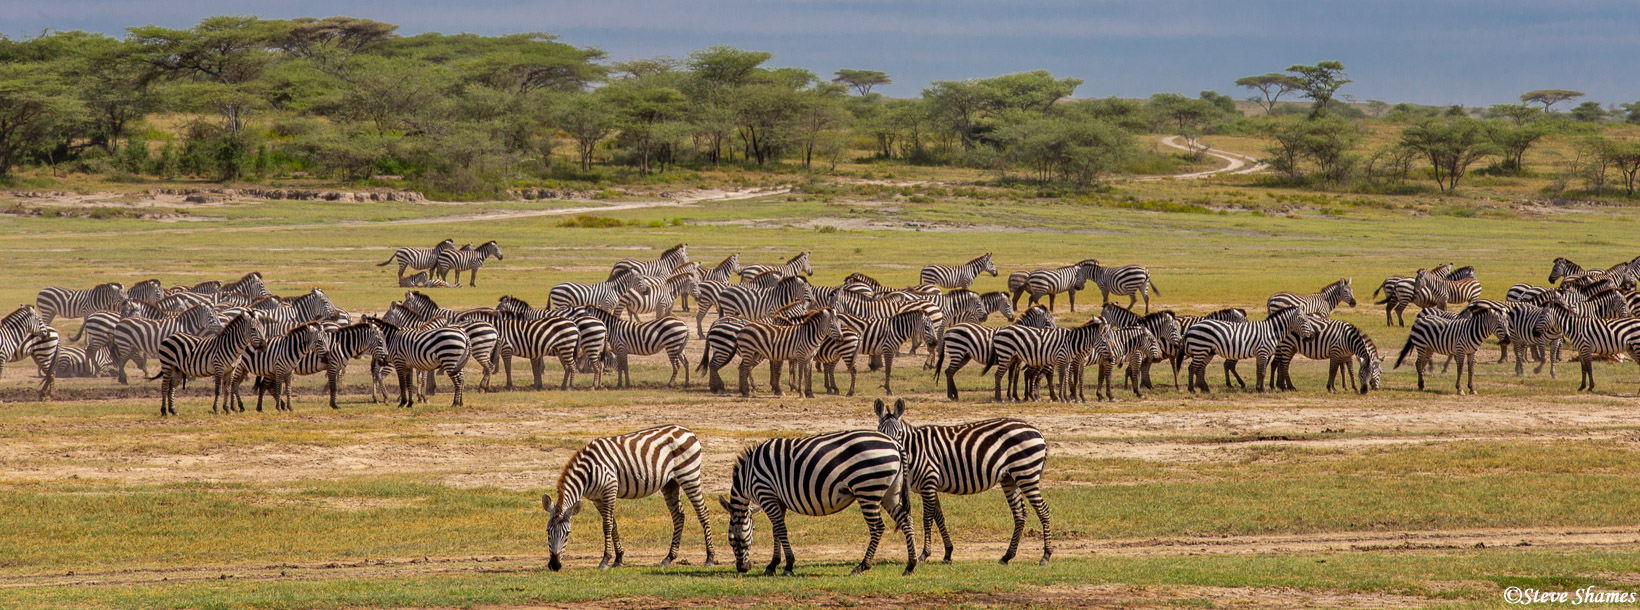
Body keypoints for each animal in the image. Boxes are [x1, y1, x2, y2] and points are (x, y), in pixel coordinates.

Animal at [541, 423, 715, 570]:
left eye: (567, 533)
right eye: (547, 531)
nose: (554, 565)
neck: (588, 472)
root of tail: (688, 431)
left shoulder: (610, 488)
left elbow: (607, 525)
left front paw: (605, 560)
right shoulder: (597, 499)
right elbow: (613, 524)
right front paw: (618, 559)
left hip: (689, 475)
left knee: (703, 512)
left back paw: (710, 558)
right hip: (670, 483)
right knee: (678, 515)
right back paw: (669, 558)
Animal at [721, 426, 924, 573]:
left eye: (732, 539)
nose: (742, 569)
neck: (748, 475)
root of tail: (895, 443)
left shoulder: (766, 494)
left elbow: (780, 529)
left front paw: (788, 566)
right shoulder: (778, 500)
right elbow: (776, 531)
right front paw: (773, 565)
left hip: (868, 490)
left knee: (877, 527)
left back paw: (862, 566)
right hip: (889, 492)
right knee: (906, 519)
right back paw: (911, 565)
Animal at [872, 398, 1049, 564]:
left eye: (899, 433)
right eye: (880, 431)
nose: (892, 447)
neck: (915, 450)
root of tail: (1037, 431)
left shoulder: (928, 482)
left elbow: (927, 518)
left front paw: (924, 554)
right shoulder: (930, 486)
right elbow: (939, 516)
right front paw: (948, 553)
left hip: (1027, 473)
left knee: (1043, 509)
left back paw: (1045, 556)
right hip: (1010, 478)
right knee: (1020, 513)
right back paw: (1007, 556)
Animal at [1180, 306, 1318, 393]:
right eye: (1304, 320)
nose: (1312, 336)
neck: (1271, 330)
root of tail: (1192, 327)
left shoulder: (1260, 353)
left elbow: (1258, 371)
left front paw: (1258, 388)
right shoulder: (1263, 352)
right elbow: (1262, 372)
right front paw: (1263, 390)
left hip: (1207, 351)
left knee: (1199, 368)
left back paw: (1205, 389)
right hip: (1201, 349)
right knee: (1192, 368)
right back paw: (1192, 389)